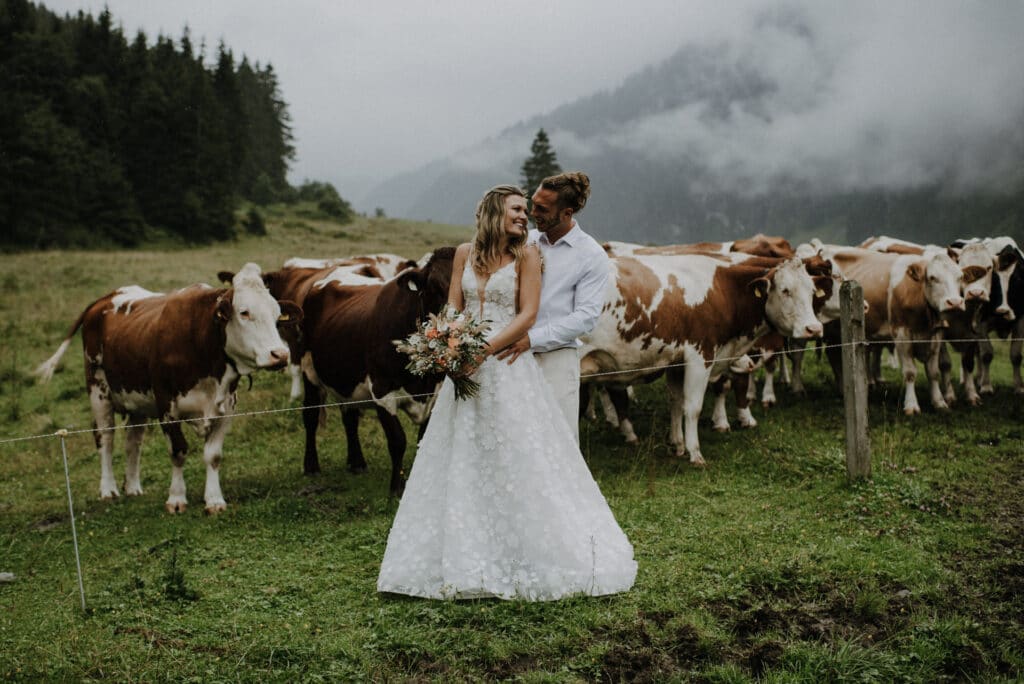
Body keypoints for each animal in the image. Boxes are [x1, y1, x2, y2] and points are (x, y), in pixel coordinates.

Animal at [35, 262, 299, 511]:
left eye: (277, 314)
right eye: (244, 312)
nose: (280, 354)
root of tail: (104, 299)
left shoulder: (227, 407)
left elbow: (213, 455)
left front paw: (214, 499)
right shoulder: (166, 406)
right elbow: (178, 451)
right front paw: (177, 498)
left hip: (137, 399)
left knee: (133, 441)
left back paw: (133, 486)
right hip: (97, 388)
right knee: (105, 437)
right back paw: (108, 489)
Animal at [299, 245, 454, 491]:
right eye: (434, 287)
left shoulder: (436, 393)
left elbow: (424, 439)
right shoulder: (382, 390)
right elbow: (398, 441)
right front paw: (397, 488)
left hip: (346, 379)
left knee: (350, 417)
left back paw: (357, 462)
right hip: (308, 370)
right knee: (310, 415)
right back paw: (311, 466)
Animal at [577, 252, 831, 464]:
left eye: (811, 292)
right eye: (786, 290)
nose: (814, 329)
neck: (723, 289)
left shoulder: (677, 362)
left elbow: (676, 402)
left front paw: (678, 445)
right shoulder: (700, 356)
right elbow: (693, 407)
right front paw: (695, 452)